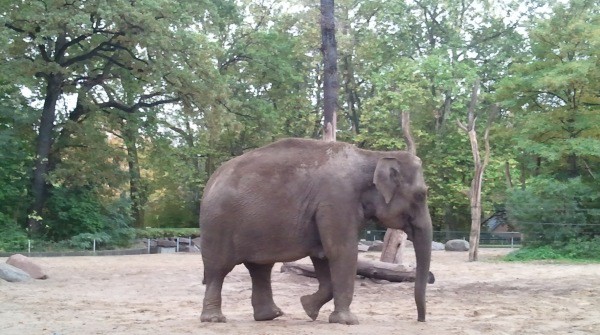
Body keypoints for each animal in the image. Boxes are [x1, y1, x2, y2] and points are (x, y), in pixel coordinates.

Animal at [200, 138, 432, 326]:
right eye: (421, 195)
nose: (420, 320)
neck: (373, 155)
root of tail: (211, 181)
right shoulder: (337, 201)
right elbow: (341, 251)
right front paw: (347, 321)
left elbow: (322, 255)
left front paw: (307, 307)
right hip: (218, 224)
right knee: (219, 269)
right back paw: (215, 319)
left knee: (260, 269)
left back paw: (271, 316)